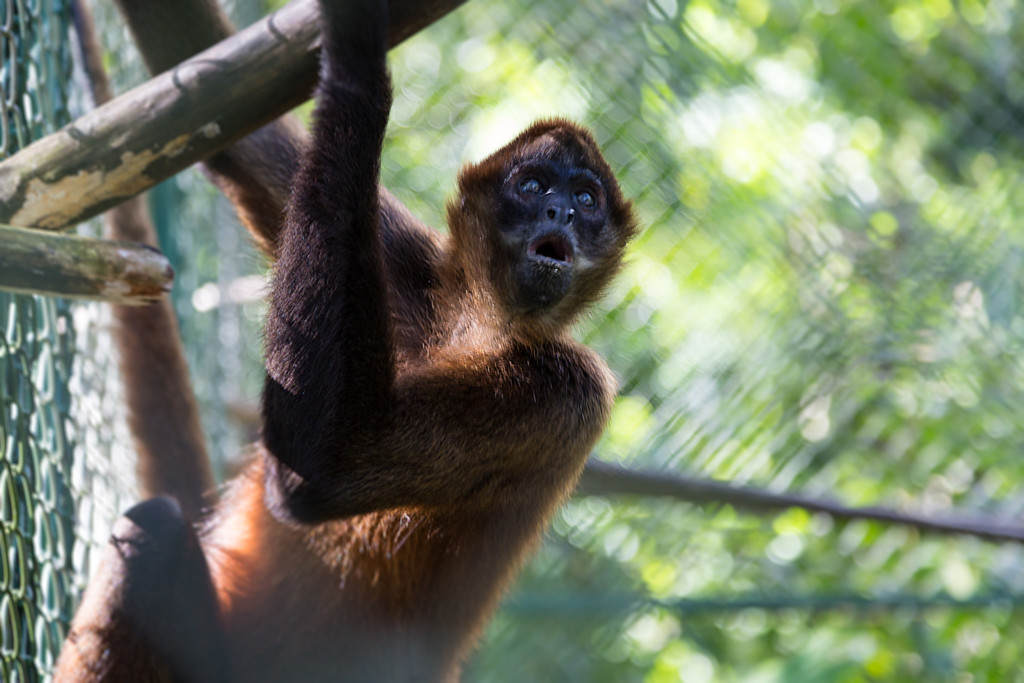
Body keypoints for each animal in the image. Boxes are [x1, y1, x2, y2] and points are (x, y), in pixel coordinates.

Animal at [56, 0, 634, 679]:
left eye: (587, 198)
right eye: (536, 187)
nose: (561, 215)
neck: (477, 326)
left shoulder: (568, 389)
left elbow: (324, 468)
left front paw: (360, 55)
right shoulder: (409, 266)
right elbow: (232, 128)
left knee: (152, 526)